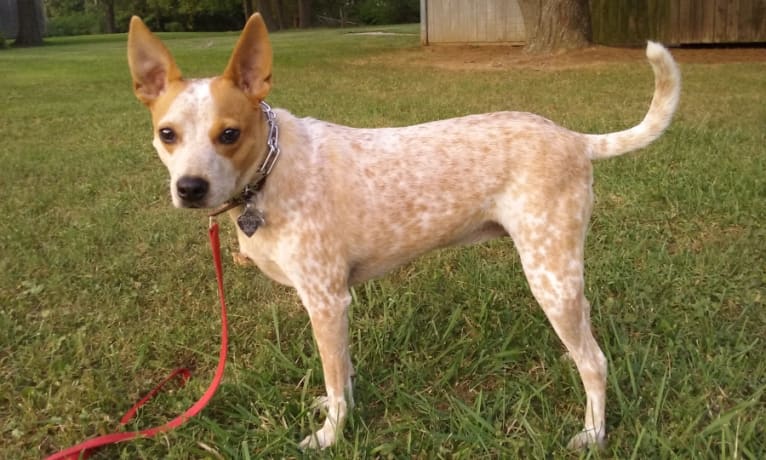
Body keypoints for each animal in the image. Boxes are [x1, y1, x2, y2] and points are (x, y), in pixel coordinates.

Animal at [127, 13, 684, 450]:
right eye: (166, 134)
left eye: (229, 134)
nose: (190, 188)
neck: (273, 166)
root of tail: (575, 139)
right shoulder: (337, 305)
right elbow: (342, 376)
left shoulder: (326, 300)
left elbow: (335, 380)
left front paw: (331, 436)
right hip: (563, 276)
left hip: (549, 279)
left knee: (595, 362)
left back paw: (593, 433)